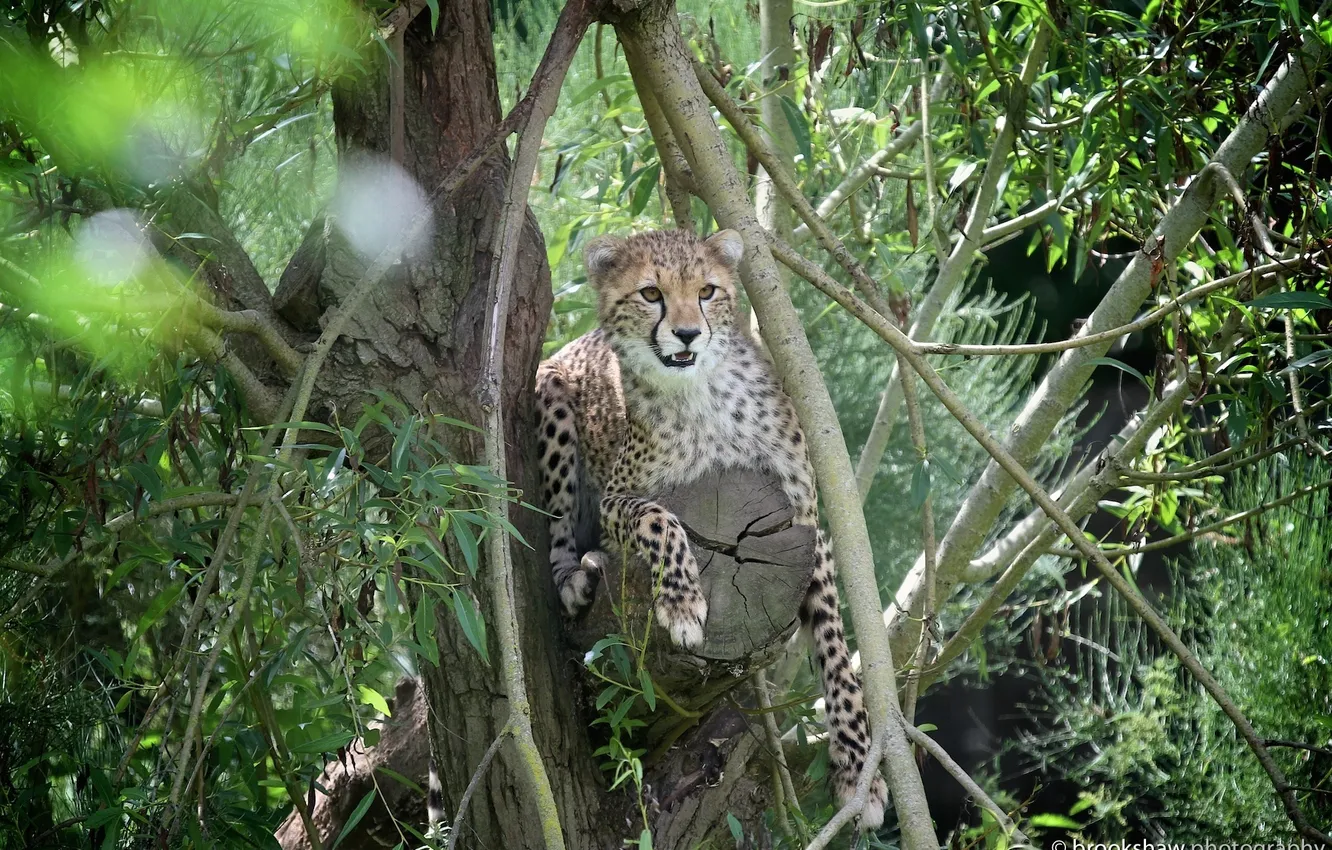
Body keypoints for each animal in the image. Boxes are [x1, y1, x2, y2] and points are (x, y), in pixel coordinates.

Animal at [533, 227, 888, 827]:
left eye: (706, 291)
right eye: (651, 293)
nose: (686, 332)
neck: (702, 392)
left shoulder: (802, 522)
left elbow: (836, 649)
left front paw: (859, 769)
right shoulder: (614, 503)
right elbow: (659, 518)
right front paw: (681, 604)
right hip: (549, 391)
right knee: (558, 529)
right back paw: (576, 575)